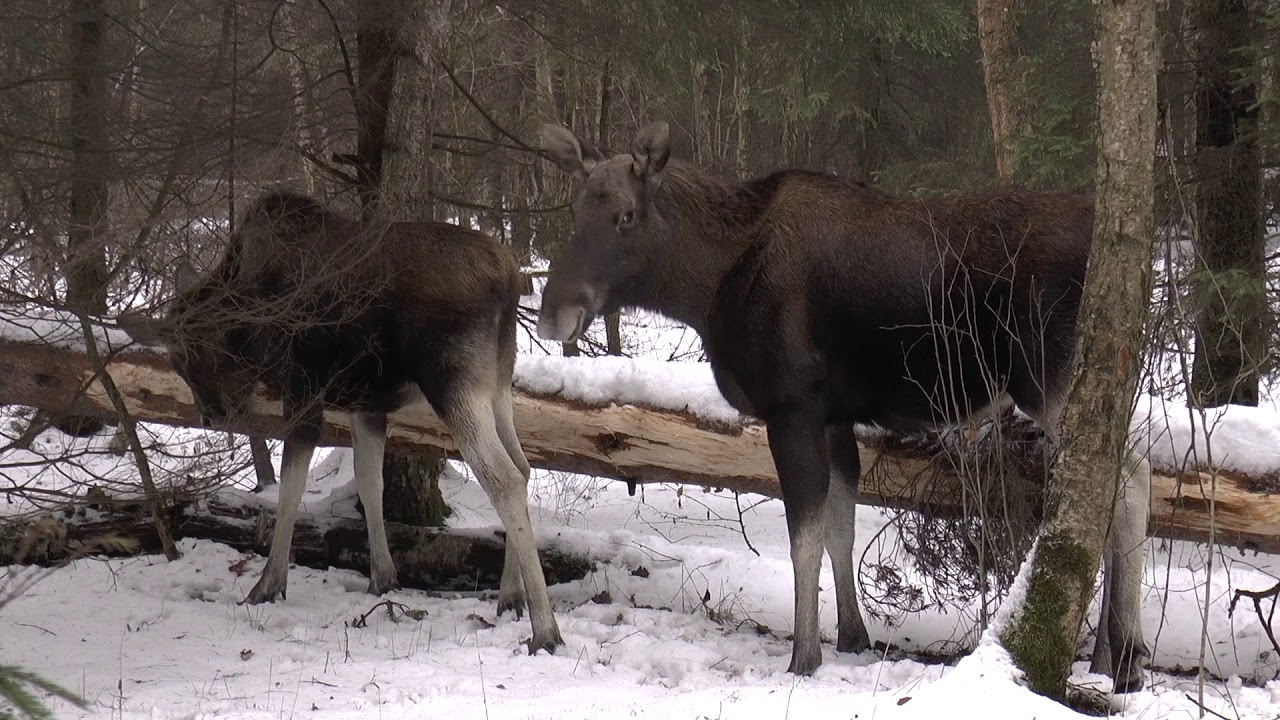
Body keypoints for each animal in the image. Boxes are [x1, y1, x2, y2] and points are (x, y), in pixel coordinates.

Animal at [123, 193, 565, 653]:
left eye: (188, 355)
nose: (211, 413)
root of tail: (512, 278)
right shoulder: (366, 406)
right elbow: (370, 484)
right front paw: (383, 578)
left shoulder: (303, 394)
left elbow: (291, 487)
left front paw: (268, 584)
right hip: (497, 382)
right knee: (523, 467)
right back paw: (511, 595)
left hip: (454, 381)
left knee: (503, 477)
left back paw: (545, 627)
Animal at [535, 120, 1157, 686]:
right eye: (575, 211)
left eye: (626, 215)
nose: (555, 312)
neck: (708, 290)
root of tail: (1144, 264)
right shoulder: (834, 417)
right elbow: (841, 527)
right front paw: (852, 636)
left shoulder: (792, 409)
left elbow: (803, 540)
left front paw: (804, 655)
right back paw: (1106, 655)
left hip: (1051, 379)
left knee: (1130, 477)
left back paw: (1126, 657)